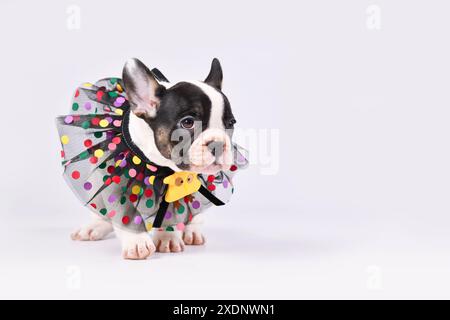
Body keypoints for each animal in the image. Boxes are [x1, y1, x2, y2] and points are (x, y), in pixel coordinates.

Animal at [71, 58, 239, 260]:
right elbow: (124, 213)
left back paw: (192, 231)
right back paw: (95, 226)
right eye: (188, 122)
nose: (218, 144)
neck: (160, 166)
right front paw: (137, 242)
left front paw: (168, 238)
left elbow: (175, 211)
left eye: (230, 124)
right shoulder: (117, 183)